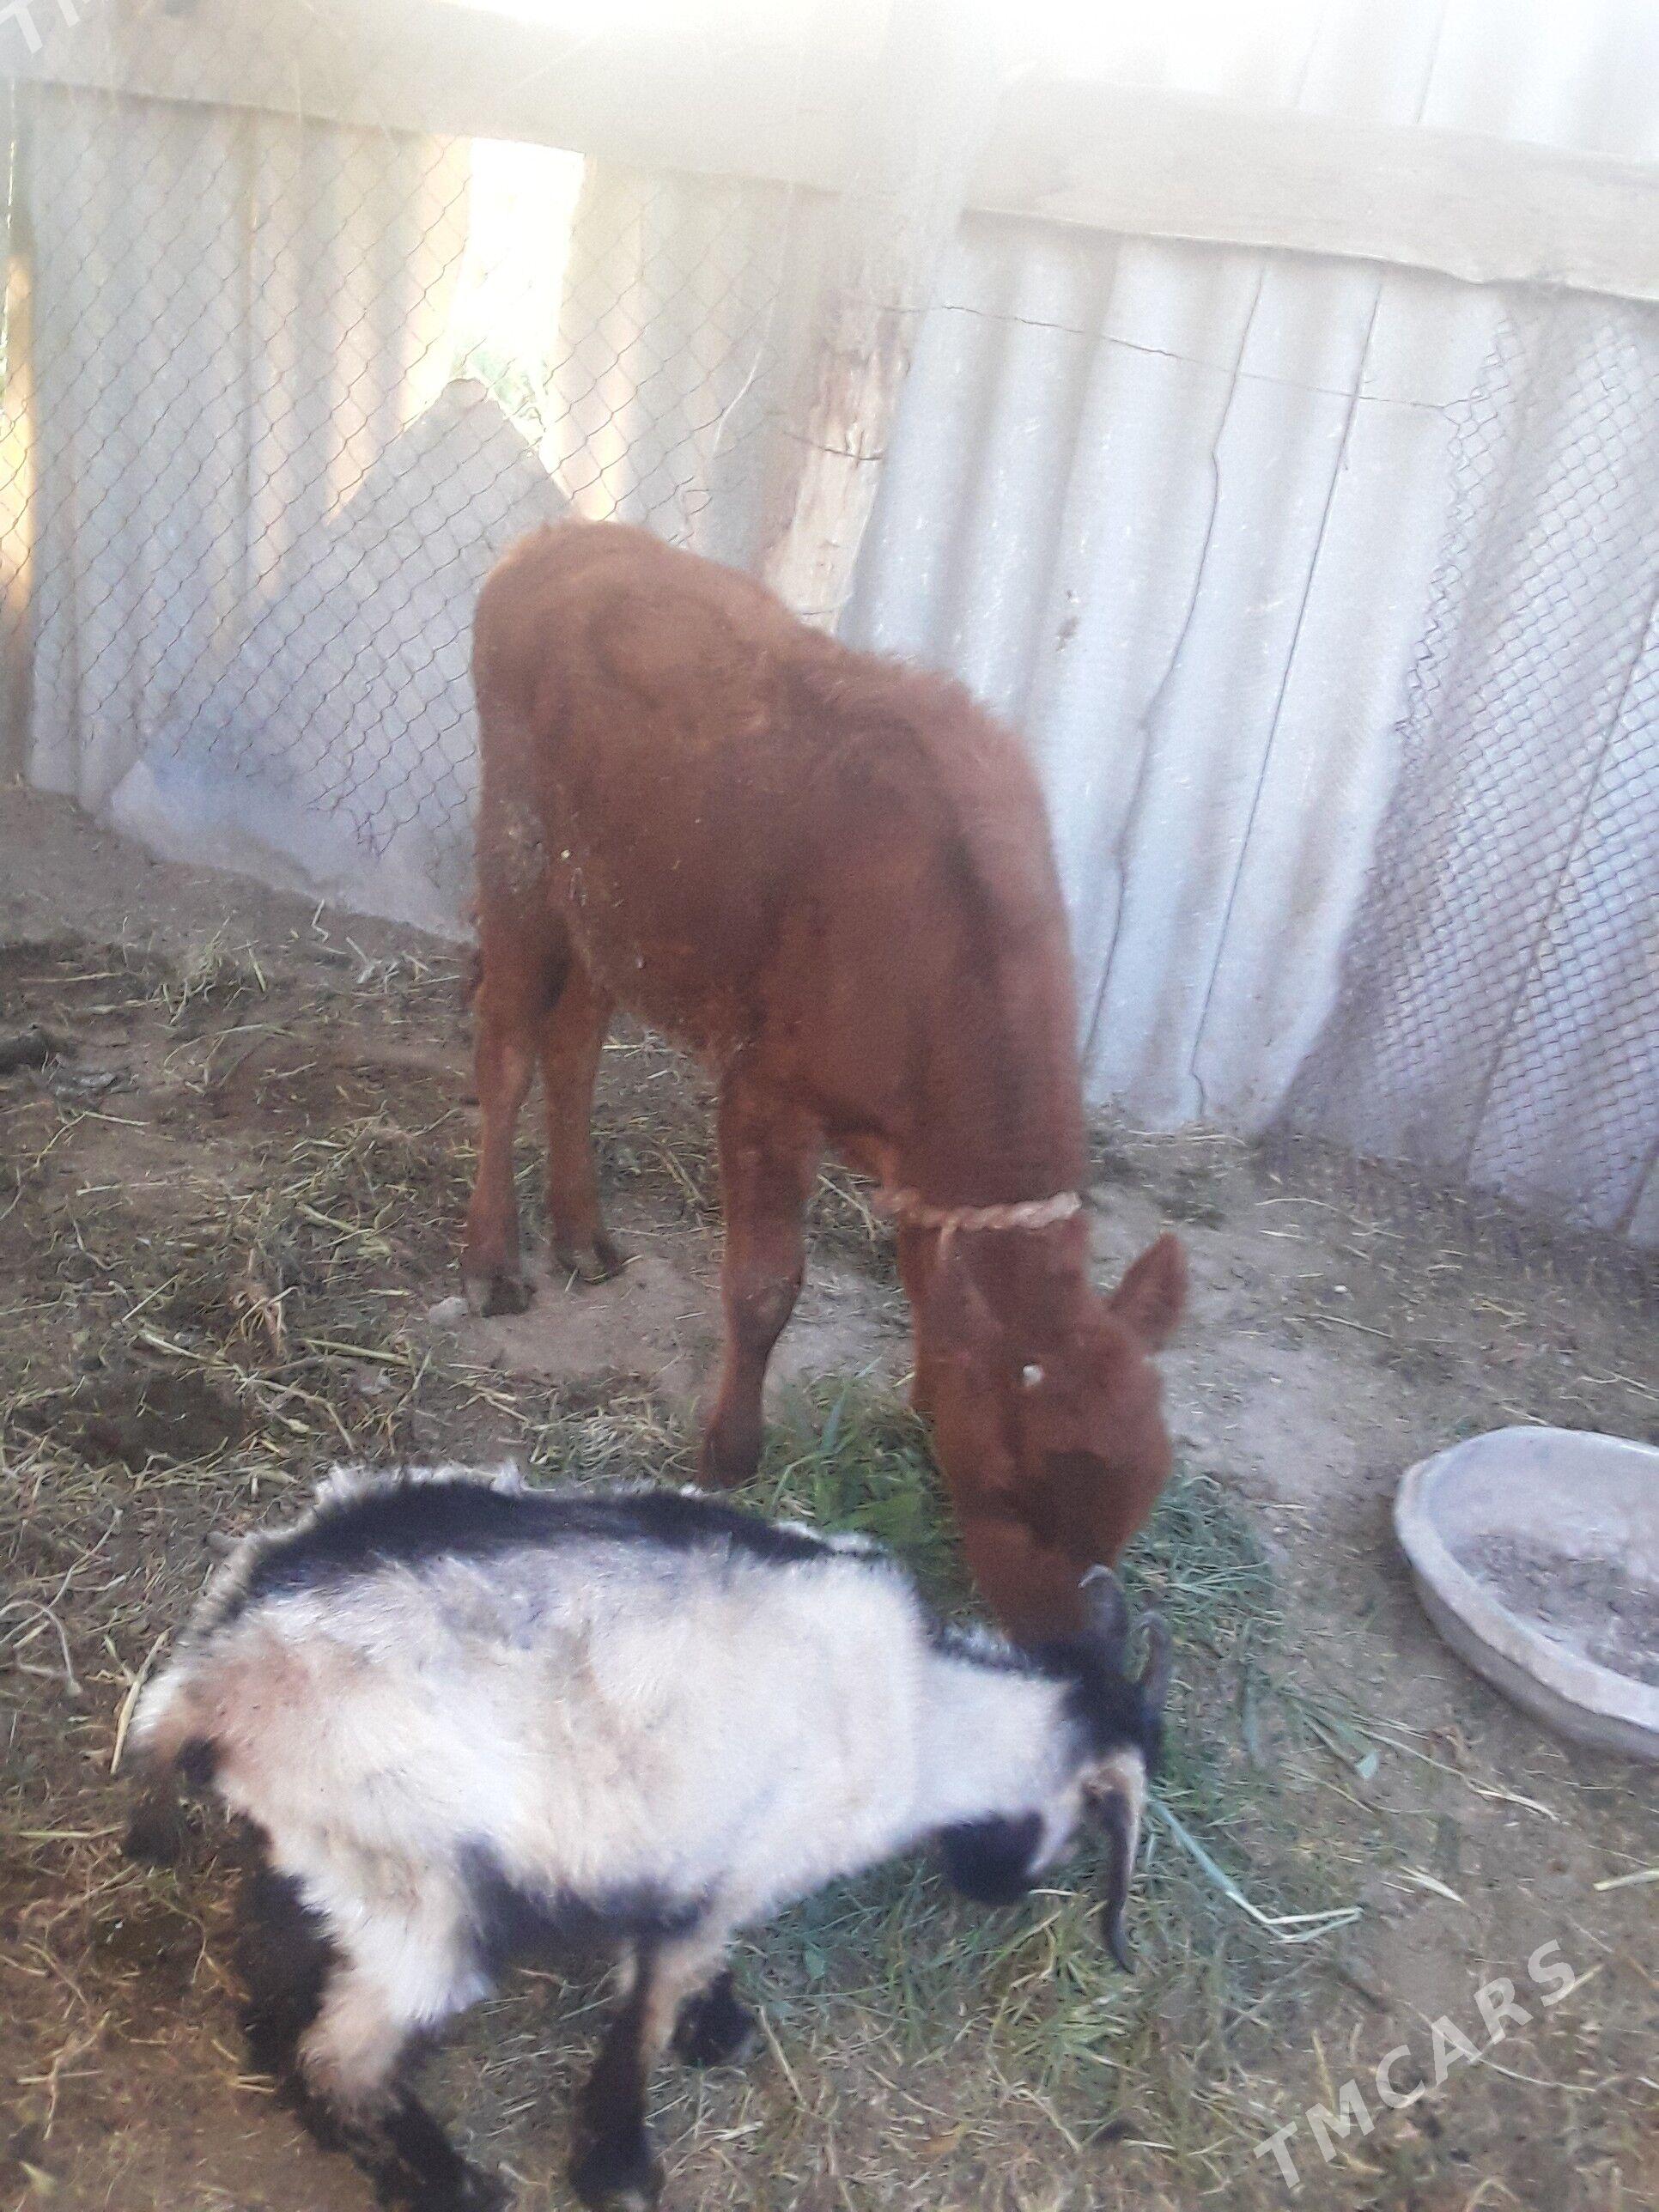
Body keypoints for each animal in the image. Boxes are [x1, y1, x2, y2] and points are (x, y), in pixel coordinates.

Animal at [126, 1464, 1170, 2212]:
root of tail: (206, 1682)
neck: (925, 1712)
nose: (998, 1887)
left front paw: (719, 2024)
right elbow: (643, 2018)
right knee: (342, 2054)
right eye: (1090, 1826)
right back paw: (447, 2185)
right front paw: (619, 2170)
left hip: (329, 1856)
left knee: (274, 2010)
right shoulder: (724, 1876)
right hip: (424, 1892)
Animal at [462, 521, 1187, 1640]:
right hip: (521, 853)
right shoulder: (766, 1087)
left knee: (574, 1042)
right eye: (1012, 1488)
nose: (1092, 1645)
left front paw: (917, 1400)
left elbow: (927, 1283)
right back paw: (494, 1256)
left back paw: (583, 1232)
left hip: (616, 909)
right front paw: (729, 1453)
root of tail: (558, 538)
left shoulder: (924, 1163)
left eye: (1141, 1495)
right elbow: (765, 1287)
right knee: (503, 1049)